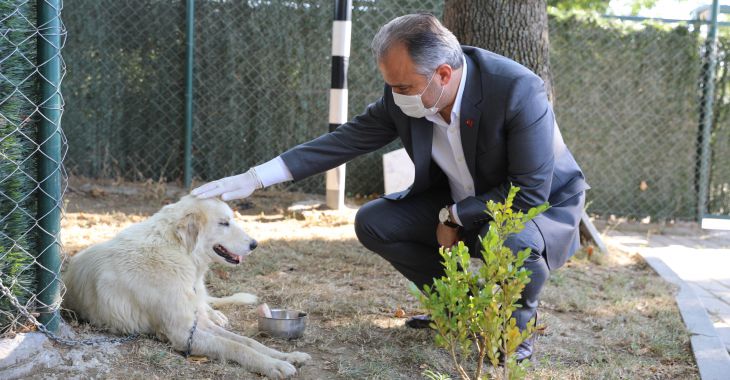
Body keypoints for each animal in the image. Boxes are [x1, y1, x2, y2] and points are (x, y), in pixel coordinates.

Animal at [63, 194, 310, 378]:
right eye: (224, 223)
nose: (255, 244)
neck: (178, 252)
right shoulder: (182, 333)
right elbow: (235, 346)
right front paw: (273, 365)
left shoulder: (196, 323)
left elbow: (248, 341)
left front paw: (288, 356)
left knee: (208, 306)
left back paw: (217, 314)